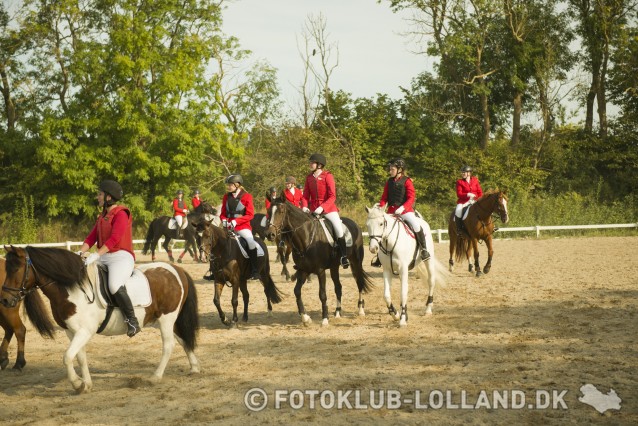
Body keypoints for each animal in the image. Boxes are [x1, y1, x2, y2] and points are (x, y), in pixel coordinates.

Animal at [0, 246, 200, 393]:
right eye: (6, 269)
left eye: (16, 269)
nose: (5, 300)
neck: (71, 289)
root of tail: (176, 269)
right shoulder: (71, 331)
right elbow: (80, 357)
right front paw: (86, 384)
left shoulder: (84, 331)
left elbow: (67, 356)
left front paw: (77, 384)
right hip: (162, 321)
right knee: (182, 340)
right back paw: (194, 368)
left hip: (166, 320)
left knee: (169, 345)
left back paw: (155, 377)